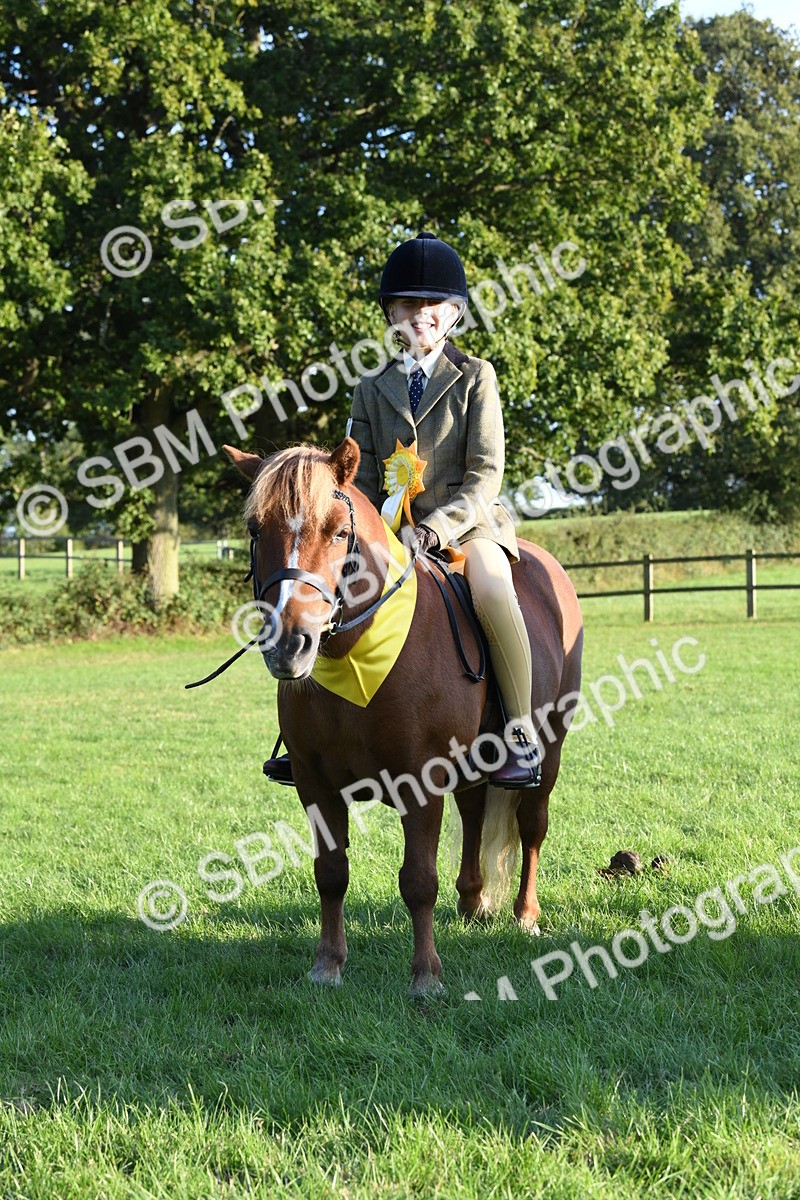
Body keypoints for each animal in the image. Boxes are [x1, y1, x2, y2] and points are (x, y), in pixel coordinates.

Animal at [223, 437, 583, 995]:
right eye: (256, 530)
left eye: (340, 531)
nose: (289, 644)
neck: (354, 657)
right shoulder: (314, 783)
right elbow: (331, 872)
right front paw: (328, 965)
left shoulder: (421, 781)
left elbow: (417, 880)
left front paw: (426, 977)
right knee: (474, 809)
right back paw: (471, 899)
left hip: (551, 747)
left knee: (531, 826)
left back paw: (525, 915)